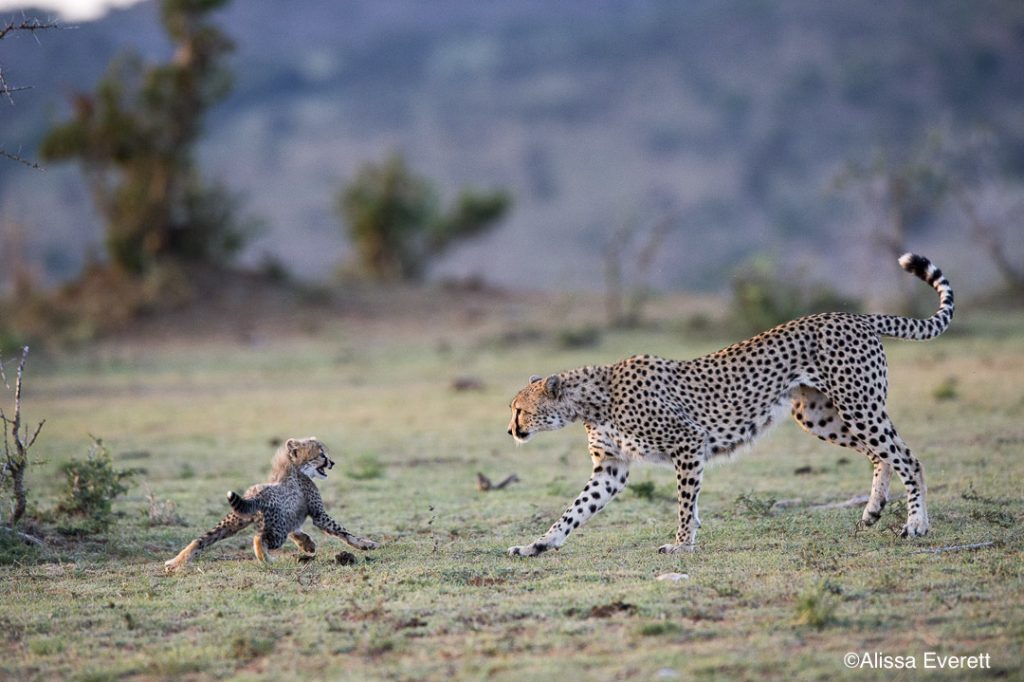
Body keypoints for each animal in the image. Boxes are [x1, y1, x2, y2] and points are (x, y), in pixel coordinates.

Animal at [507, 251, 954, 557]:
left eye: (520, 409)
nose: (511, 429)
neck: (591, 401)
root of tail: (854, 316)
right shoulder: (612, 468)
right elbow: (575, 509)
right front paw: (538, 545)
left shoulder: (687, 442)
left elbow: (685, 502)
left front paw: (681, 544)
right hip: (820, 415)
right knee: (881, 455)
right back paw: (873, 510)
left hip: (858, 406)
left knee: (908, 458)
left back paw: (917, 524)